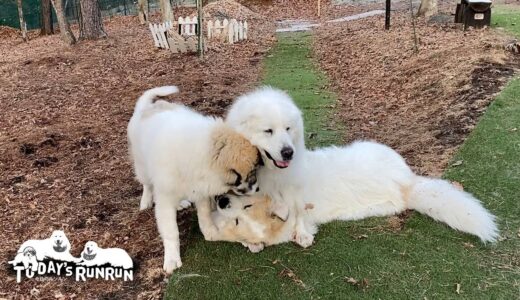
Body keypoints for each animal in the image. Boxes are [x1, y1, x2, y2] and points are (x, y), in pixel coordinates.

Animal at [128, 85, 262, 274]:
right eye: (250, 174)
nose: (257, 189)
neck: (204, 155)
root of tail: (146, 107)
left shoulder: (201, 190)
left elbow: (205, 216)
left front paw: (211, 232)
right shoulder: (165, 199)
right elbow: (171, 232)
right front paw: (171, 259)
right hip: (142, 165)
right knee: (146, 183)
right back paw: (145, 201)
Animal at [210, 141, 500, 251]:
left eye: (247, 207)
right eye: (236, 221)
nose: (221, 201)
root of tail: (408, 184)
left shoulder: (294, 193)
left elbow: (300, 214)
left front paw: (302, 234)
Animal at [229, 86, 316, 246]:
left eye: (288, 128)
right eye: (268, 131)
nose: (288, 152)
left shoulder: (290, 181)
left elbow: (297, 209)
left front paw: (302, 232)